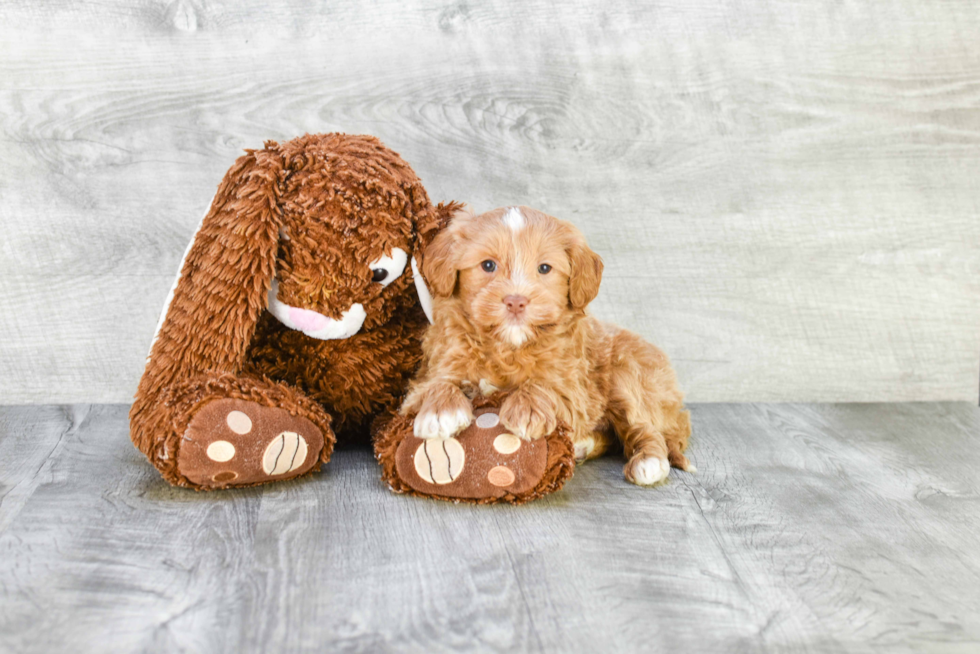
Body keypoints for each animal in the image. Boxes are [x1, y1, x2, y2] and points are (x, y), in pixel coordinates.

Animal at [400, 205, 696, 486]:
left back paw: (649, 461)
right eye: (488, 265)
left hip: (628, 375)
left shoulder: (575, 390)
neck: (508, 346)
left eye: (544, 268)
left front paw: (526, 410)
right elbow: (437, 383)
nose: (516, 301)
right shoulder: (431, 371)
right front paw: (440, 411)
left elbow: (545, 386)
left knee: (644, 427)